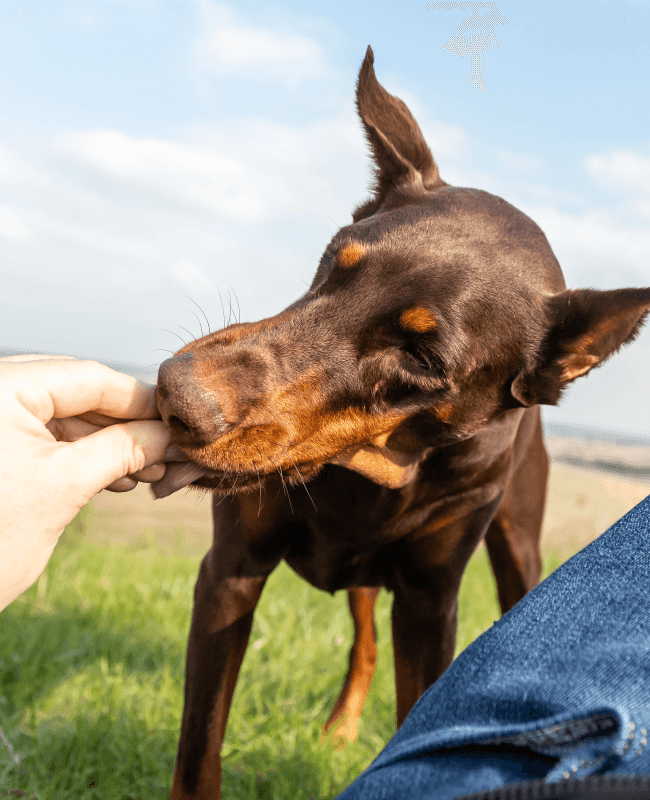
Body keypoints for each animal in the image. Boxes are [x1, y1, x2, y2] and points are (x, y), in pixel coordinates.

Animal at [153, 47, 648, 796]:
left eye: (420, 355)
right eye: (335, 258)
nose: (178, 397)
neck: (373, 473)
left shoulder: (429, 602)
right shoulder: (231, 572)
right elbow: (198, 750)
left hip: (517, 545)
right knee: (362, 639)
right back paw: (339, 727)